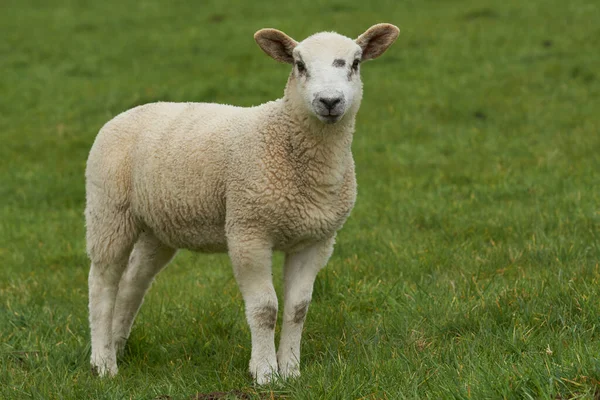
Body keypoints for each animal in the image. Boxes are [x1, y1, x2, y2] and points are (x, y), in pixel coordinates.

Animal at [84, 22, 400, 384]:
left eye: (355, 63)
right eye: (299, 65)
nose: (330, 101)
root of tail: (126, 114)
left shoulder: (316, 239)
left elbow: (298, 309)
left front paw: (291, 370)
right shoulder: (249, 230)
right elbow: (265, 308)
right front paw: (265, 372)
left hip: (157, 227)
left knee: (133, 283)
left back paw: (117, 345)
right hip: (108, 210)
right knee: (102, 284)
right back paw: (103, 362)